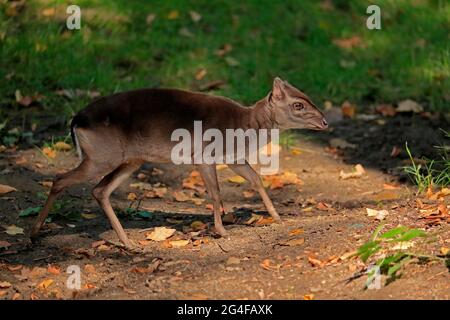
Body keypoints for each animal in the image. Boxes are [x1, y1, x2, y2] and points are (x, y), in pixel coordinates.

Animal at [30, 77, 326, 248]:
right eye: (298, 105)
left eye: (307, 97)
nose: (324, 121)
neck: (245, 128)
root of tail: (75, 121)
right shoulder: (203, 155)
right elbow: (215, 192)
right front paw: (221, 231)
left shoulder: (233, 158)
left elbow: (256, 179)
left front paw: (277, 217)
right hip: (102, 156)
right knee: (60, 179)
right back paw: (33, 232)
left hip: (130, 159)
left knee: (99, 189)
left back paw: (127, 242)